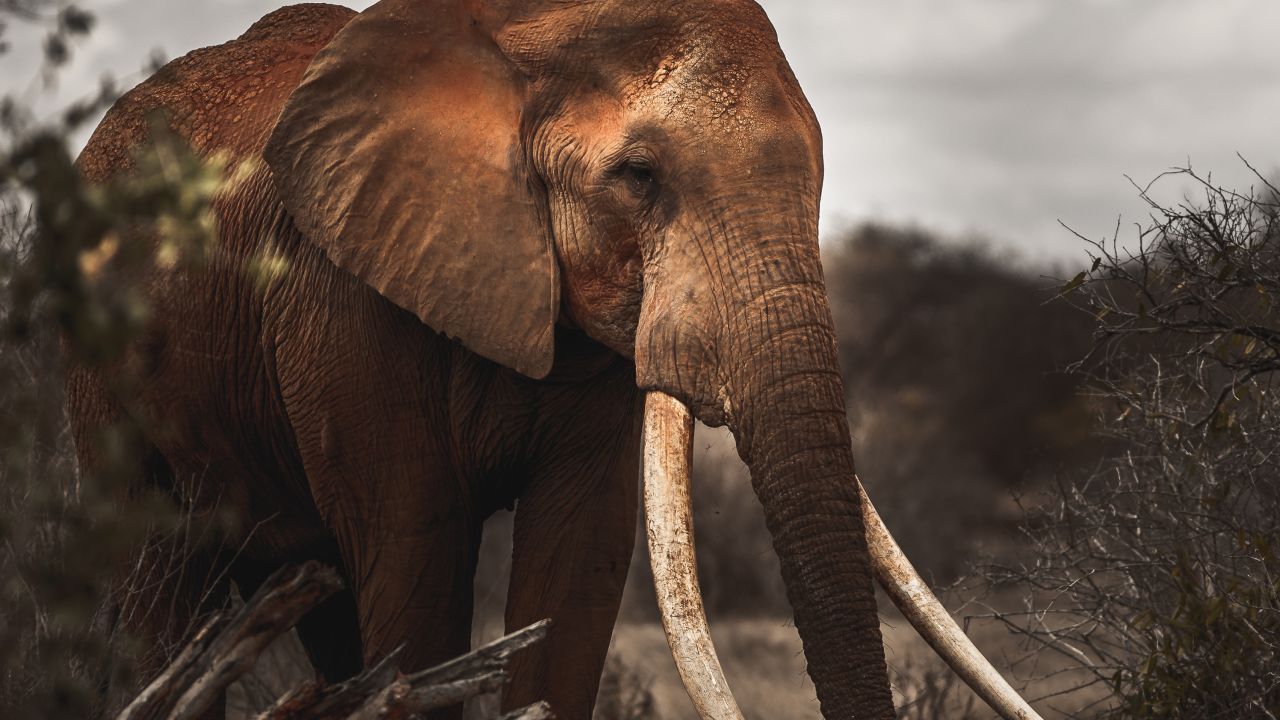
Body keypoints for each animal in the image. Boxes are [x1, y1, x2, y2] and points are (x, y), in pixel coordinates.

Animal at [68, 1, 1039, 718]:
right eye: (640, 177)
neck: (526, 35)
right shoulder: (341, 296)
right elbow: (415, 557)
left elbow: (576, 563)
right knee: (156, 587)